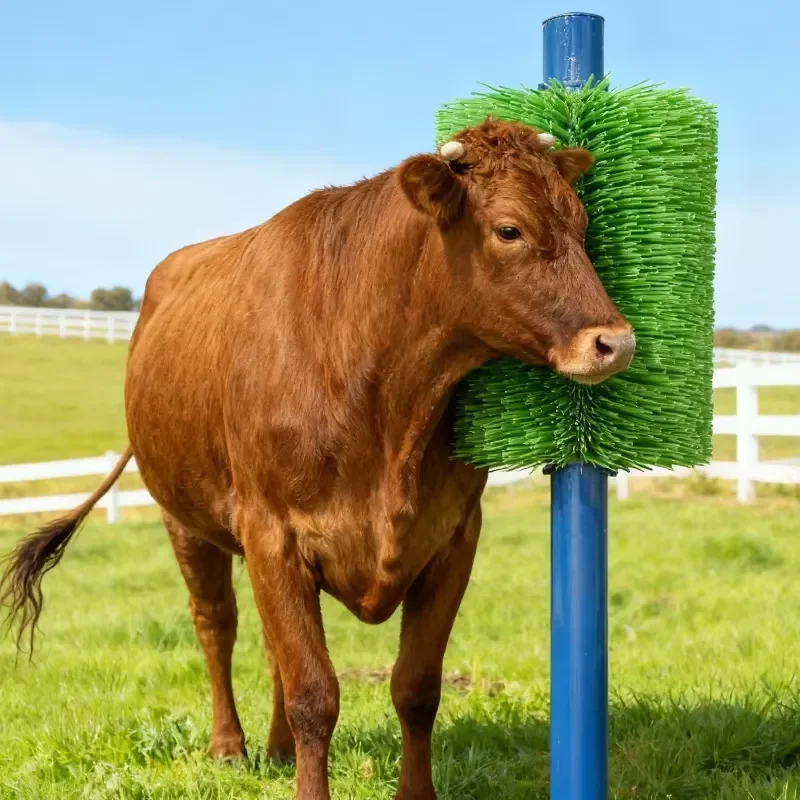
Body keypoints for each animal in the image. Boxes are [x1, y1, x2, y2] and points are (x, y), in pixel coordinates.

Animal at [0, 118, 634, 800]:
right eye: (509, 229)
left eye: (581, 222)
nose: (614, 342)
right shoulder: (273, 532)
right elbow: (314, 694)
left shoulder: (452, 537)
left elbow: (415, 688)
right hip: (184, 520)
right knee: (216, 624)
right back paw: (229, 746)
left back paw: (276, 749)